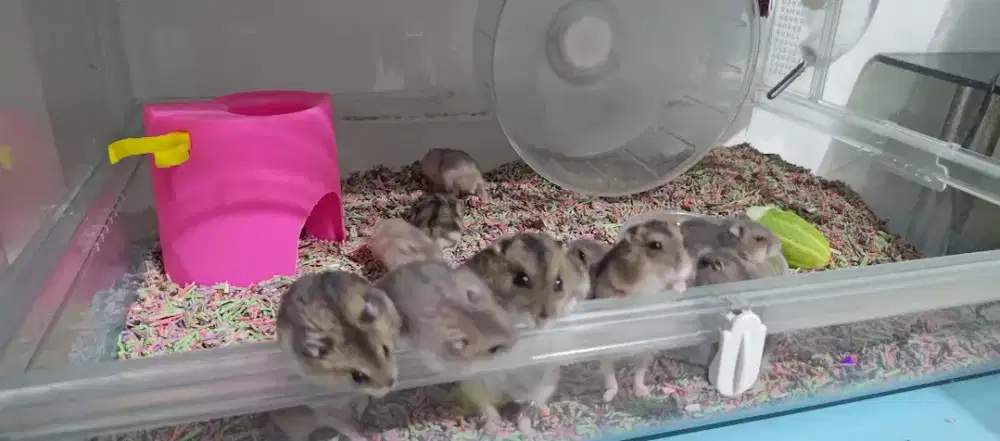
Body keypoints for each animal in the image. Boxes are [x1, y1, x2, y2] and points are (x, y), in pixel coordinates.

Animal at [460, 232, 591, 435]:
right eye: (521, 279)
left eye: (559, 283)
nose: (543, 320)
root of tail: (511, 394)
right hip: (474, 382)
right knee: (487, 406)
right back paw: (494, 427)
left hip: (546, 383)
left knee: (528, 410)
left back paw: (530, 431)